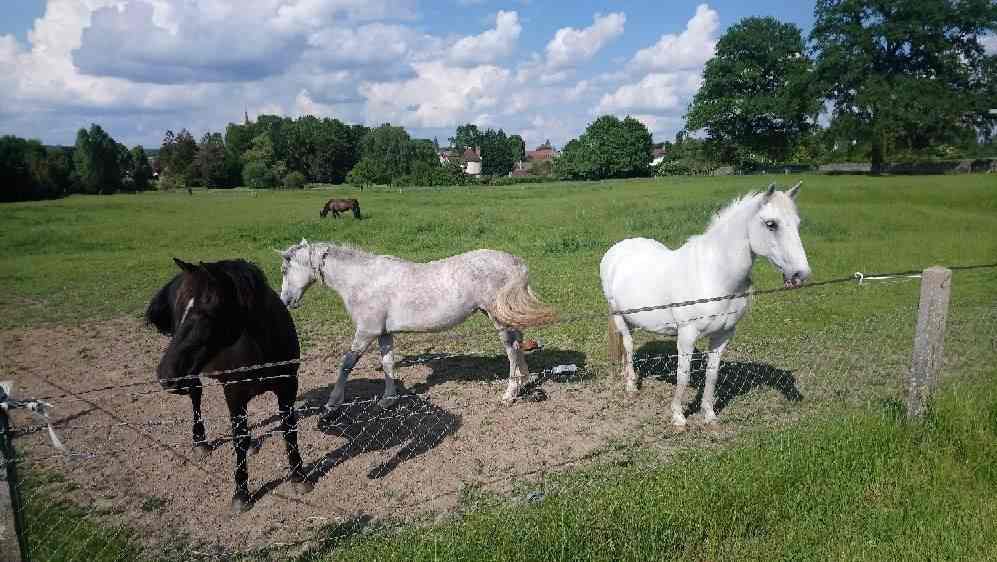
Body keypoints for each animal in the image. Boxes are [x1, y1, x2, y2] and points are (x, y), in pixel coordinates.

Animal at [145, 258, 313, 512]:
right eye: (180, 311)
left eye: (209, 312)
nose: (165, 375)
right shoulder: (234, 393)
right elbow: (238, 439)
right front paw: (241, 493)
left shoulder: (288, 388)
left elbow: (289, 430)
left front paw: (298, 477)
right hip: (194, 374)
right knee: (196, 396)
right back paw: (200, 443)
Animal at [276, 240, 556, 411]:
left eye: (284, 269)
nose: (286, 301)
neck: (363, 281)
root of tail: (514, 262)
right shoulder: (384, 333)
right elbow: (388, 364)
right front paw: (388, 399)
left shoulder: (366, 332)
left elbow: (346, 364)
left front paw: (333, 402)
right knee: (519, 344)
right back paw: (524, 382)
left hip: (499, 320)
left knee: (512, 350)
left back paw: (510, 393)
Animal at [600, 182, 810, 428]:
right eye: (771, 224)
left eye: (798, 223)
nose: (800, 274)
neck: (713, 276)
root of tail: (617, 249)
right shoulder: (687, 336)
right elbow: (683, 375)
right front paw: (678, 416)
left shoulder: (723, 335)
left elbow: (712, 374)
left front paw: (709, 414)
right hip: (619, 317)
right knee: (629, 346)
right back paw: (631, 385)